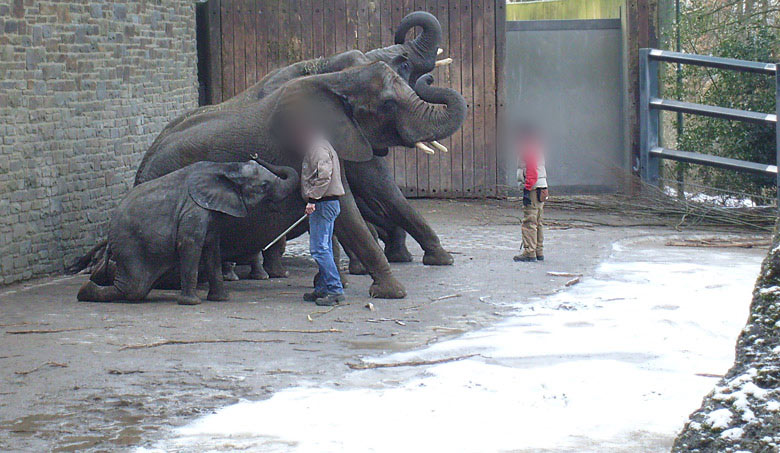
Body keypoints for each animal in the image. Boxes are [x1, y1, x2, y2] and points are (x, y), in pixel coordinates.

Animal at [133, 61, 470, 298]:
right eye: (388, 104)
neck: (336, 79)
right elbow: (344, 206)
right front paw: (391, 292)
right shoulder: (299, 146)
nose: (429, 78)